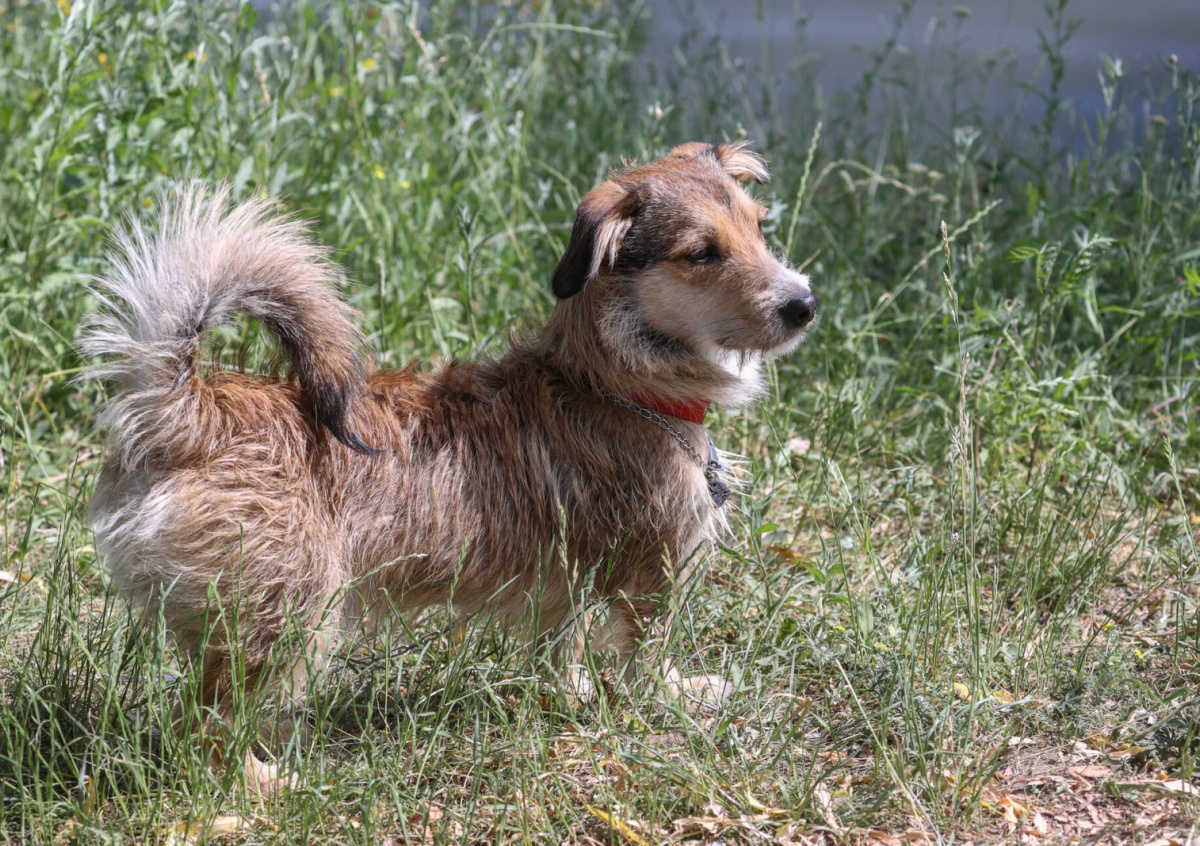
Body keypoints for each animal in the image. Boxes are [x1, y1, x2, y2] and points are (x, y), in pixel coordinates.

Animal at [80, 141, 817, 790]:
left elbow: (563, 645)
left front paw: (571, 696)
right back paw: (260, 784)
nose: (804, 304)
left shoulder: (570, 578)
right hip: (292, 611)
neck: (613, 382)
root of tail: (192, 410)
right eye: (702, 253)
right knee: (201, 729)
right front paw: (674, 696)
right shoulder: (654, 573)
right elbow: (646, 653)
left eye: (758, 230)